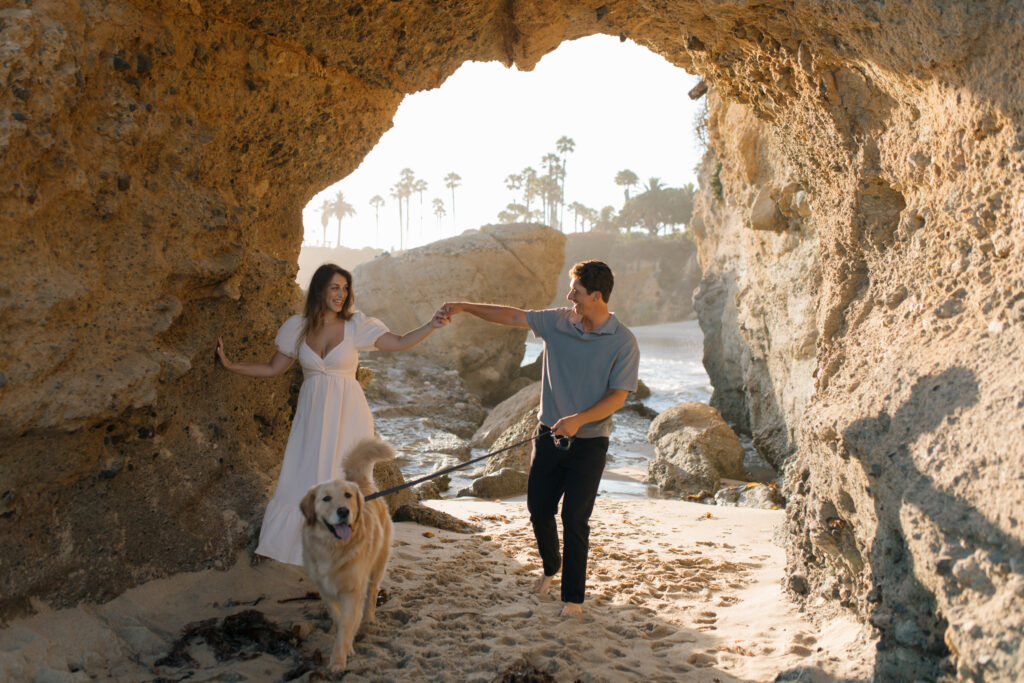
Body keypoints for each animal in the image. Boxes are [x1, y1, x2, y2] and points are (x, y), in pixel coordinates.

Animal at [299, 438, 393, 671]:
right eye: (326, 498)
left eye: (348, 496)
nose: (343, 511)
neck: (333, 548)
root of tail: (361, 483)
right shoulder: (324, 588)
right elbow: (337, 615)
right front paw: (342, 640)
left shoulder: (352, 590)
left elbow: (347, 624)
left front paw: (340, 659)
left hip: (378, 564)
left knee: (372, 592)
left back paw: (369, 618)